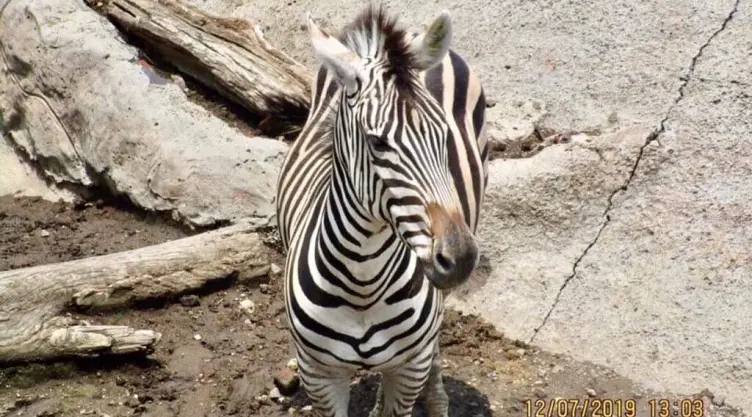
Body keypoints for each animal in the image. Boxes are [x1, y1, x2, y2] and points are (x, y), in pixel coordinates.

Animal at [275, 5, 488, 417]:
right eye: (377, 143)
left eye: (444, 137)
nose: (459, 258)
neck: (363, 284)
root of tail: (412, 31)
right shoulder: (318, 375)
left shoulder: (408, 368)